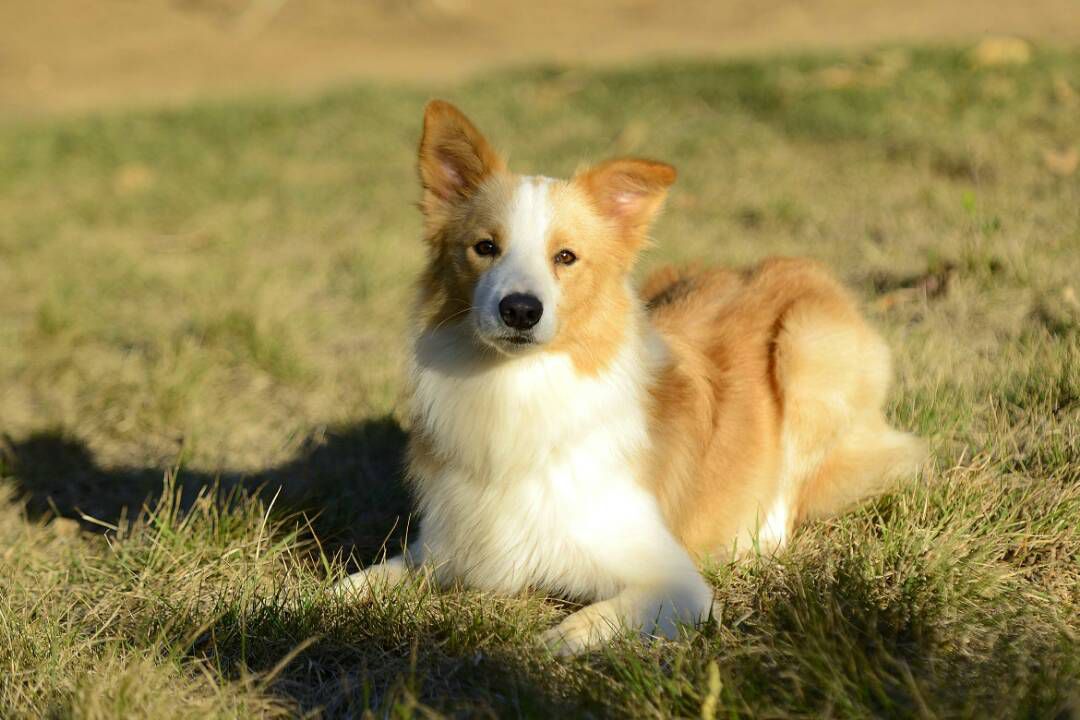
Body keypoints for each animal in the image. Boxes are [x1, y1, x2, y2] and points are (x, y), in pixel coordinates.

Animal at [339, 98, 928, 656]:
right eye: (485, 247)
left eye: (566, 257)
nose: (520, 310)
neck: (518, 385)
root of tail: (790, 264)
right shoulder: (446, 547)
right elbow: (360, 582)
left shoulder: (676, 586)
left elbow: (586, 622)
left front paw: (538, 652)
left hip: (807, 345)